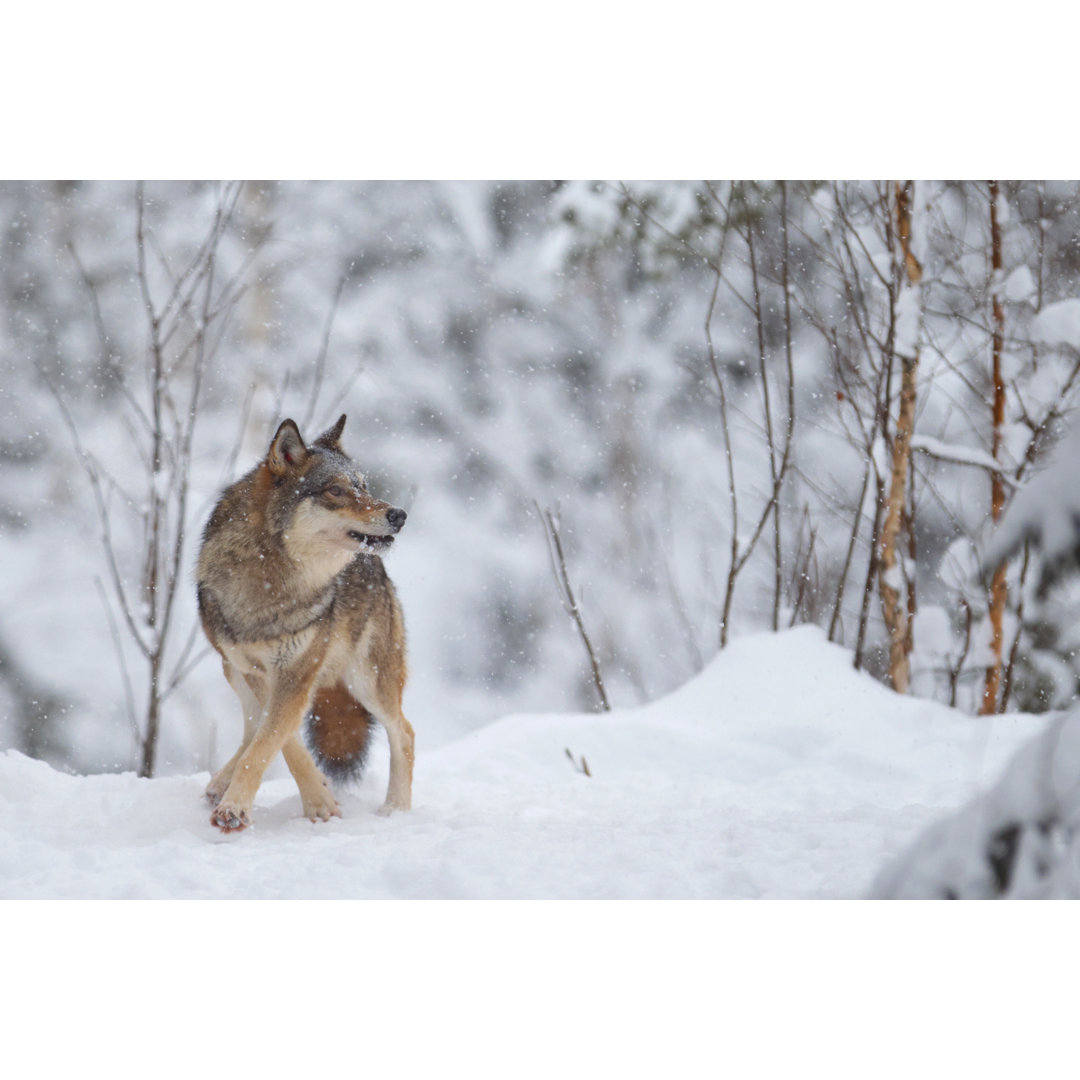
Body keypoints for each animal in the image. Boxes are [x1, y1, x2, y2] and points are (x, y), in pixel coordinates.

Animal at [194, 414, 412, 833]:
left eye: (363, 486)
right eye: (336, 490)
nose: (399, 514)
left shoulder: (296, 672)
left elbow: (269, 741)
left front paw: (237, 809)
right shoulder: (258, 672)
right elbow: (278, 740)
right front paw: (319, 799)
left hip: (368, 681)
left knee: (404, 733)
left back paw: (396, 810)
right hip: (233, 670)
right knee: (251, 726)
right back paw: (220, 782)